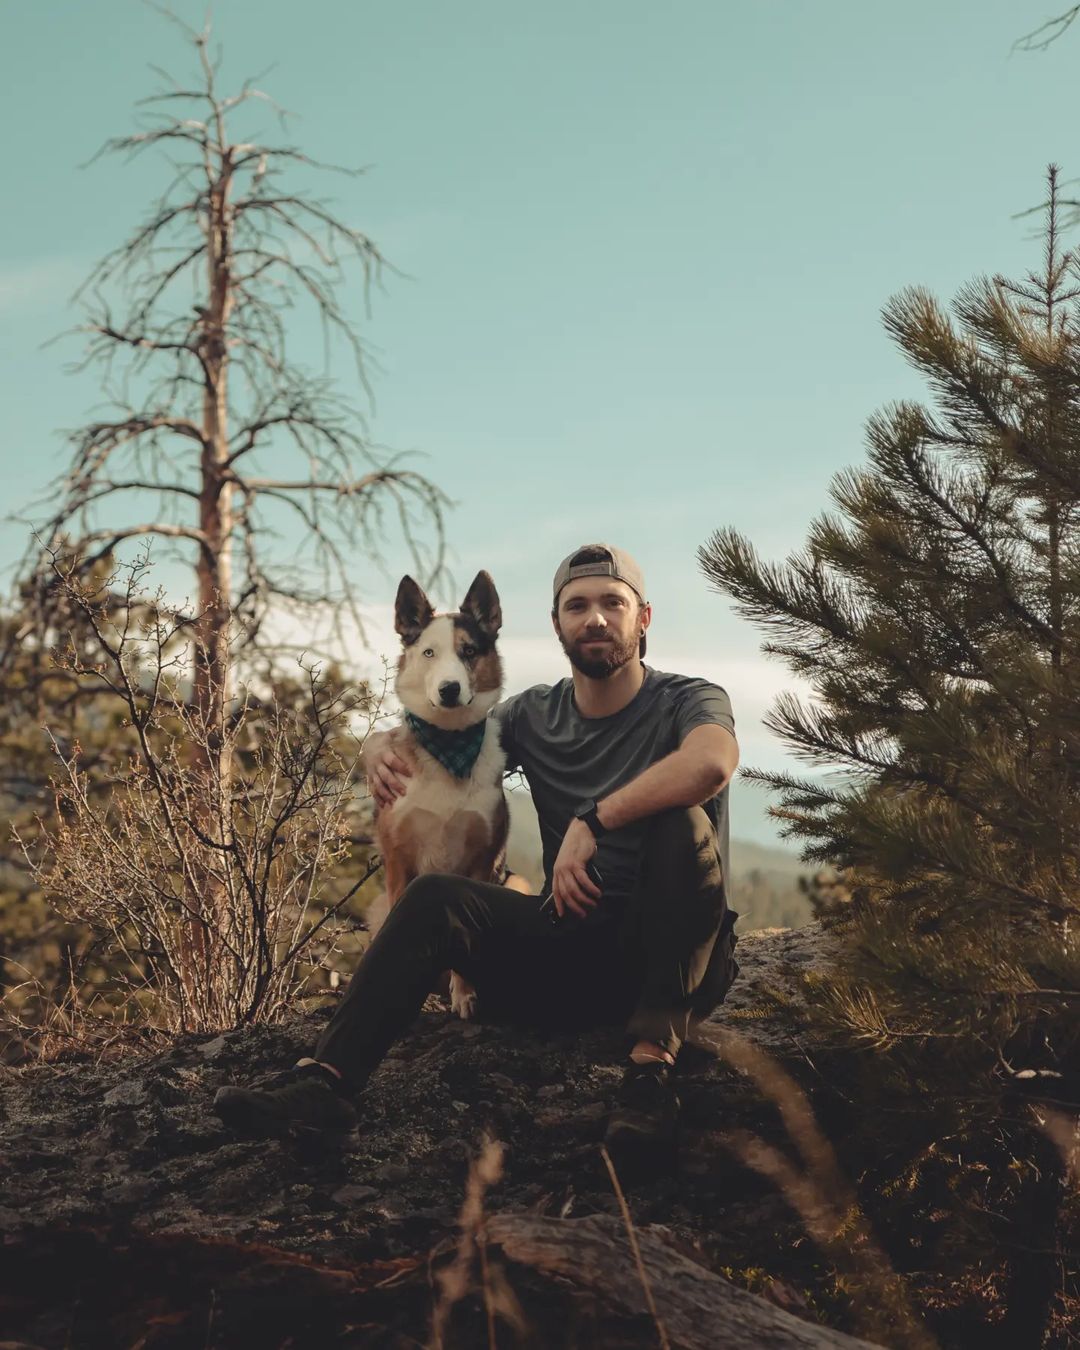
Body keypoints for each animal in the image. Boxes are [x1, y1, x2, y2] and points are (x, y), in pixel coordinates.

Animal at [369, 569, 507, 1020]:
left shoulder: (481, 862)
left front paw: (465, 996)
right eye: (429, 652)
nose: (449, 689)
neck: (449, 745)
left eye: (469, 652)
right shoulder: (399, 860)